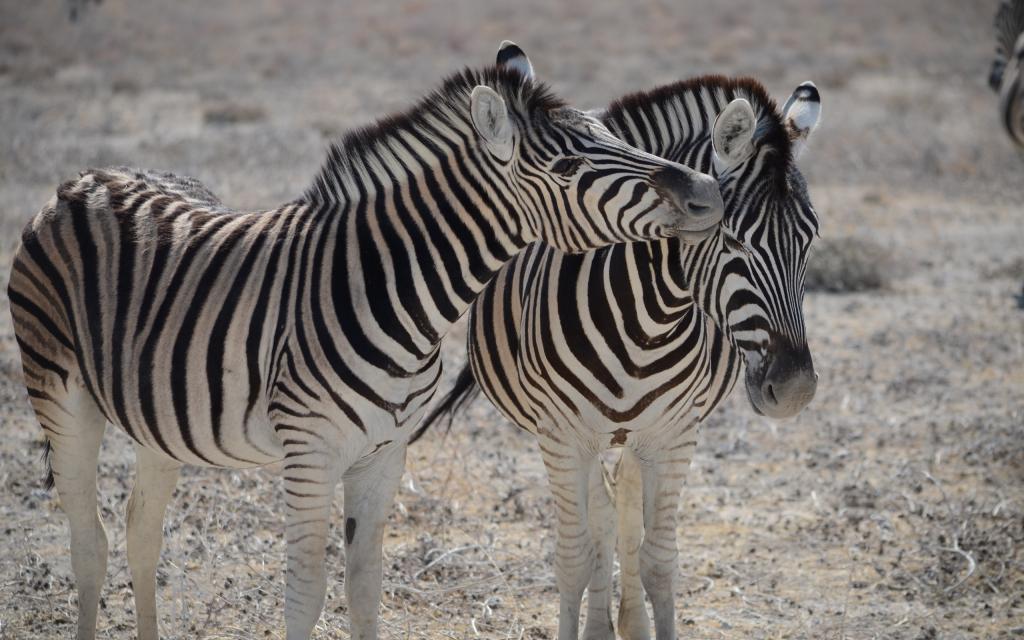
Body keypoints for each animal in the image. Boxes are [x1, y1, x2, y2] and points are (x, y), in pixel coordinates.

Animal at [6, 63, 726, 640]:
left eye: (613, 134)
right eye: (570, 168)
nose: (708, 193)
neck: (400, 299)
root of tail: (87, 177)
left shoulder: (384, 453)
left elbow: (363, 590)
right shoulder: (310, 452)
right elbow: (305, 592)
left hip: (159, 420)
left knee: (140, 532)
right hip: (60, 394)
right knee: (89, 543)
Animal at [418, 43, 821, 640]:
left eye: (811, 237)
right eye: (732, 238)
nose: (794, 390)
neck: (648, 321)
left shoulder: (675, 435)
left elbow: (657, 559)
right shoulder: (562, 437)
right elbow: (574, 557)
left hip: (636, 436)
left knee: (624, 505)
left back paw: (627, 619)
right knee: (602, 518)